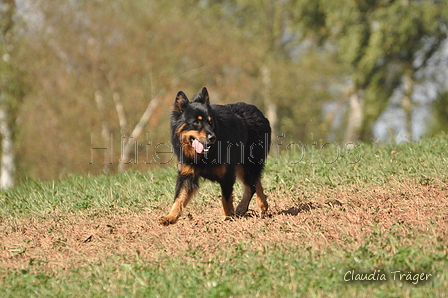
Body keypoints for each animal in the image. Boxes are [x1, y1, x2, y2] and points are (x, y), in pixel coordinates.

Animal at [161, 87, 272, 225]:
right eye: (196, 122)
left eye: (210, 122)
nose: (212, 137)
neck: (203, 156)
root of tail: (259, 112)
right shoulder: (187, 175)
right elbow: (179, 198)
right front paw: (170, 217)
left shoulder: (227, 175)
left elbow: (226, 199)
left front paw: (228, 216)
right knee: (255, 182)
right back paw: (262, 205)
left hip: (248, 164)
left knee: (251, 185)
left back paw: (244, 207)